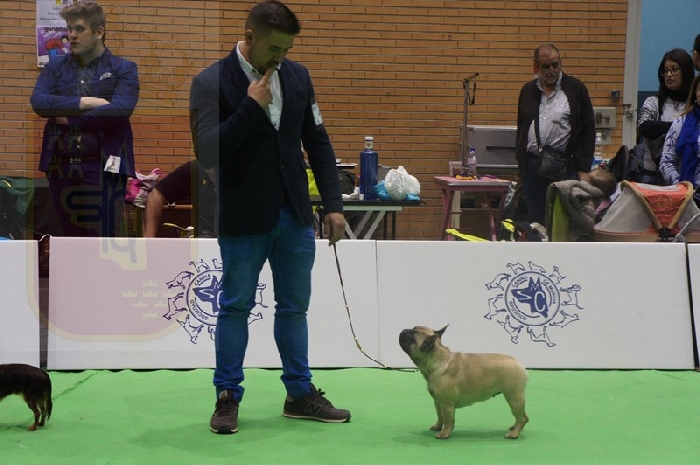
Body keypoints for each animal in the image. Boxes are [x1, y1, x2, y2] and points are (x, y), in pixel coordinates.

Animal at [399, 325, 528, 439]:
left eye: (411, 337)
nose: (404, 330)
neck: (438, 361)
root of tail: (518, 362)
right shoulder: (438, 401)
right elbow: (440, 416)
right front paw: (438, 427)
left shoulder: (447, 404)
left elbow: (448, 419)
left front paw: (444, 433)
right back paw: (514, 427)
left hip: (514, 398)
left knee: (522, 418)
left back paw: (514, 433)